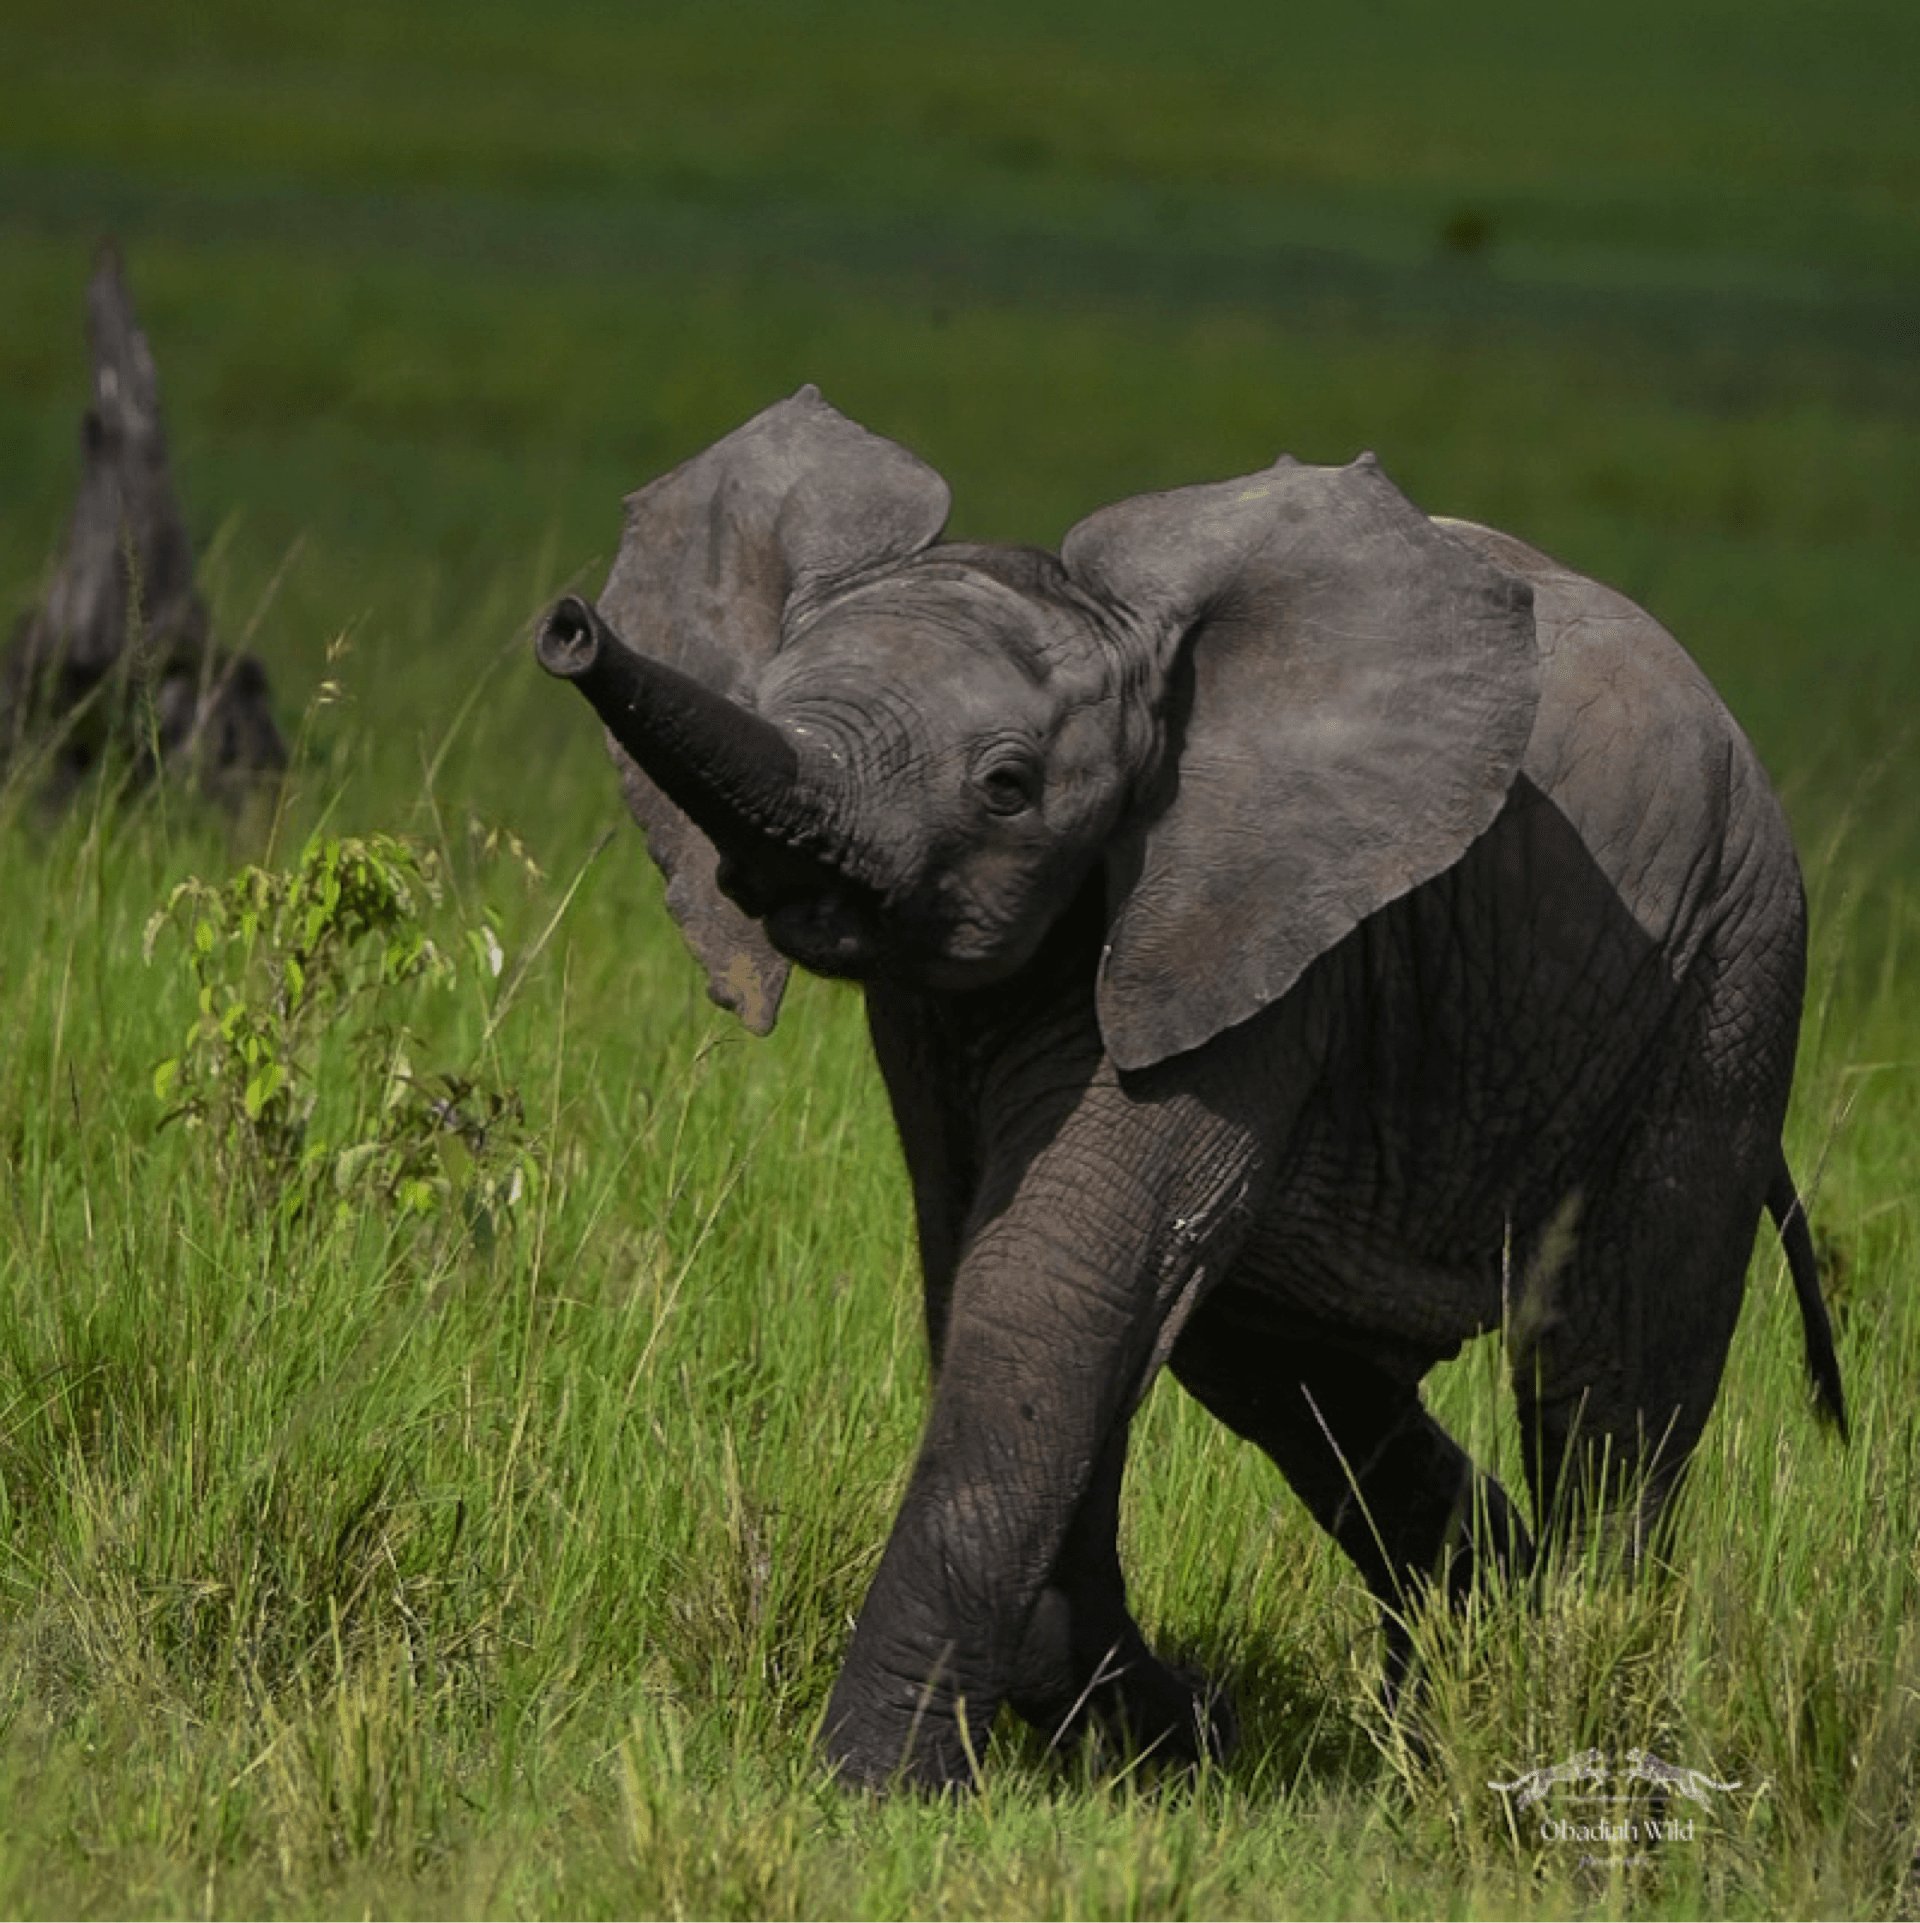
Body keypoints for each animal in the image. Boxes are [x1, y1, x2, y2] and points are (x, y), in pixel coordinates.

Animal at [535, 386, 1846, 1791]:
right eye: (769, 700)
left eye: (1007, 787)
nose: (568, 629)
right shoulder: (947, 1007)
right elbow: (998, 1275)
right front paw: (1181, 1734)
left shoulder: (1252, 937)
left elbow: (1055, 1283)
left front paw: (868, 1797)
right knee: (1286, 1371)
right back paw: (1451, 1673)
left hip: (1727, 974)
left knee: (1609, 1376)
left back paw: (1561, 1695)